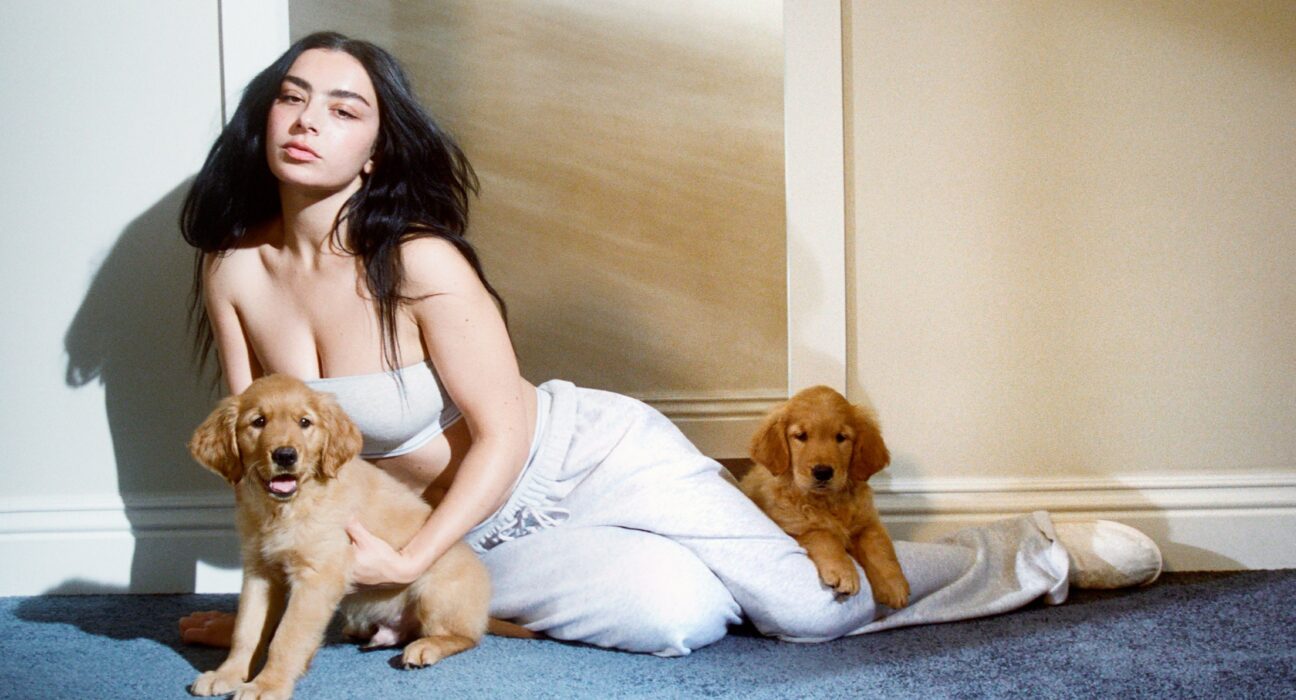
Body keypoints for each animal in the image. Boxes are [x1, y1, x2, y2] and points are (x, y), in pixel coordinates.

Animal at [188, 374, 526, 699]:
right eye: (258, 422)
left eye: (305, 422)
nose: (285, 455)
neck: (284, 509)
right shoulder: (260, 572)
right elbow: (246, 630)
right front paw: (227, 674)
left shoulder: (317, 576)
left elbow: (288, 637)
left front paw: (268, 685)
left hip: (436, 591)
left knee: (466, 636)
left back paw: (426, 646)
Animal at [739, 385, 909, 609]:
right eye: (801, 436)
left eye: (841, 437)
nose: (822, 472)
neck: (826, 501)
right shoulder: (792, 527)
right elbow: (823, 536)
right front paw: (843, 573)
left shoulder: (867, 521)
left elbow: (879, 547)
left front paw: (893, 585)